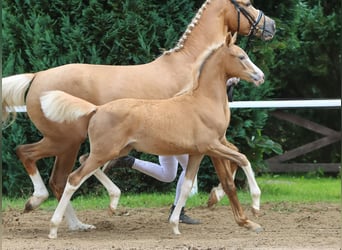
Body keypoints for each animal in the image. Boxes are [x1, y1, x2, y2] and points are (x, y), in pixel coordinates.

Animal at [40, 33, 264, 238]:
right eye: (241, 56)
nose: (260, 76)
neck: (204, 101)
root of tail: (97, 109)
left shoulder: (199, 152)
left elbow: (187, 186)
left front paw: (175, 226)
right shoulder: (211, 145)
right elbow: (243, 159)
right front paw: (255, 206)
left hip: (114, 150)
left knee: (83, 161)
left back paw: (113, 200)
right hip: (104, 151)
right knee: (74, 178)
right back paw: (53, 228)